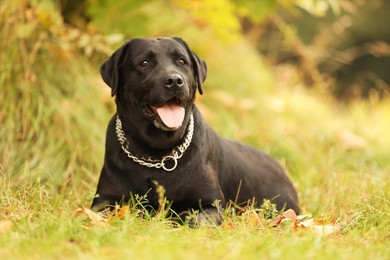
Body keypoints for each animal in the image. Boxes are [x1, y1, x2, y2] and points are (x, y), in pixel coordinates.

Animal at [91, 37, 298, 223]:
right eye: (144, 63)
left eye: (182, 61)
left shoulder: (211, 204)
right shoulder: (104, 202)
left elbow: (193, 218)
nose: (174, 81)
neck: (157, 153)